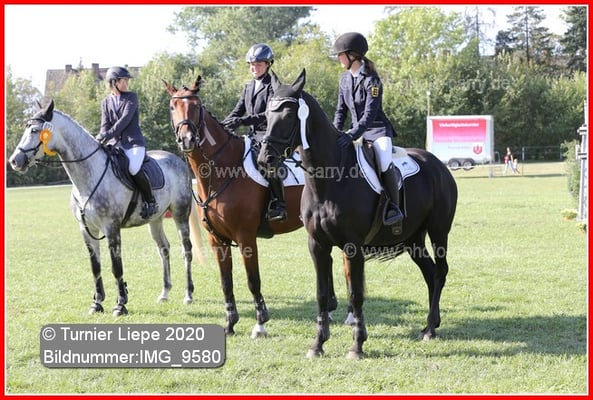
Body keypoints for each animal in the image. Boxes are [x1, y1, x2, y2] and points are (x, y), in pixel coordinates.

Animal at [9, 100, 203, 316]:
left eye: (35, 130)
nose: (14, 161)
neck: (88, 176)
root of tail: (177, 160)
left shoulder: (111, 228)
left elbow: (116, 267)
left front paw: (120, 304)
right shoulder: (87, 230)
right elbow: (96, 267)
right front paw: (97, 303)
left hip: (180, 214)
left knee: (186, 250)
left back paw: (188, 295)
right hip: (155, 220)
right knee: (164, 249)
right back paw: (164, 293)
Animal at [163, 77, 338, 338]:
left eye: (196, 106)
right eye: (173, 106)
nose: (187, 139)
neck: (220, 169)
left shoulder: (245, 237)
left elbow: (252, 280)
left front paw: (260, 323)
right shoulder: (218, 241)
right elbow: (226, 282)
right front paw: (230, 323)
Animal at [257, 69, 458, 359]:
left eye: (287, 115)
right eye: (266, 114)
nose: (265, 159)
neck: (329, 179)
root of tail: (440, 166)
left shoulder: (352, 246)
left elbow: (356, 294)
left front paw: (357, 345)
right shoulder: (317, 245)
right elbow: (321, 294)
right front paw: (317, 344)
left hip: (438, 231)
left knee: (440, 271)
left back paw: (430, 329)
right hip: (413, 240)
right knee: (430, 274)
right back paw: (431, 324)